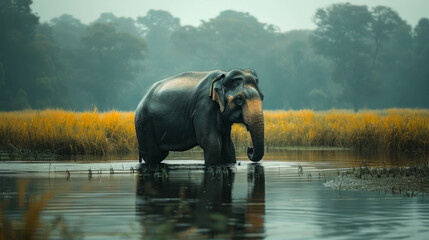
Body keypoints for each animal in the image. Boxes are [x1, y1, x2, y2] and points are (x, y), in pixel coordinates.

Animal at [134, 68, 262, 165]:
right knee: (153, 154)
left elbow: (228, 146)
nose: (249, 149)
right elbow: (211, 142)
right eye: (239, 99)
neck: (223, 75)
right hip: (144, 125)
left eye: (262, 97)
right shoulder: (203, 107)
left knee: (161, 154)